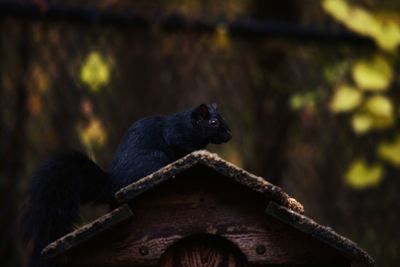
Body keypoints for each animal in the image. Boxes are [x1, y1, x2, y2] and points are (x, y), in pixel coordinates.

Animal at [21, 104, 231, 267]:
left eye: (223, 118)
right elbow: (185, 147)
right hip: (154, 160)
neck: (190, 124)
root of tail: (113, 183)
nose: (229, 135)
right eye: (214, 122)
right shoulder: (176, 134)